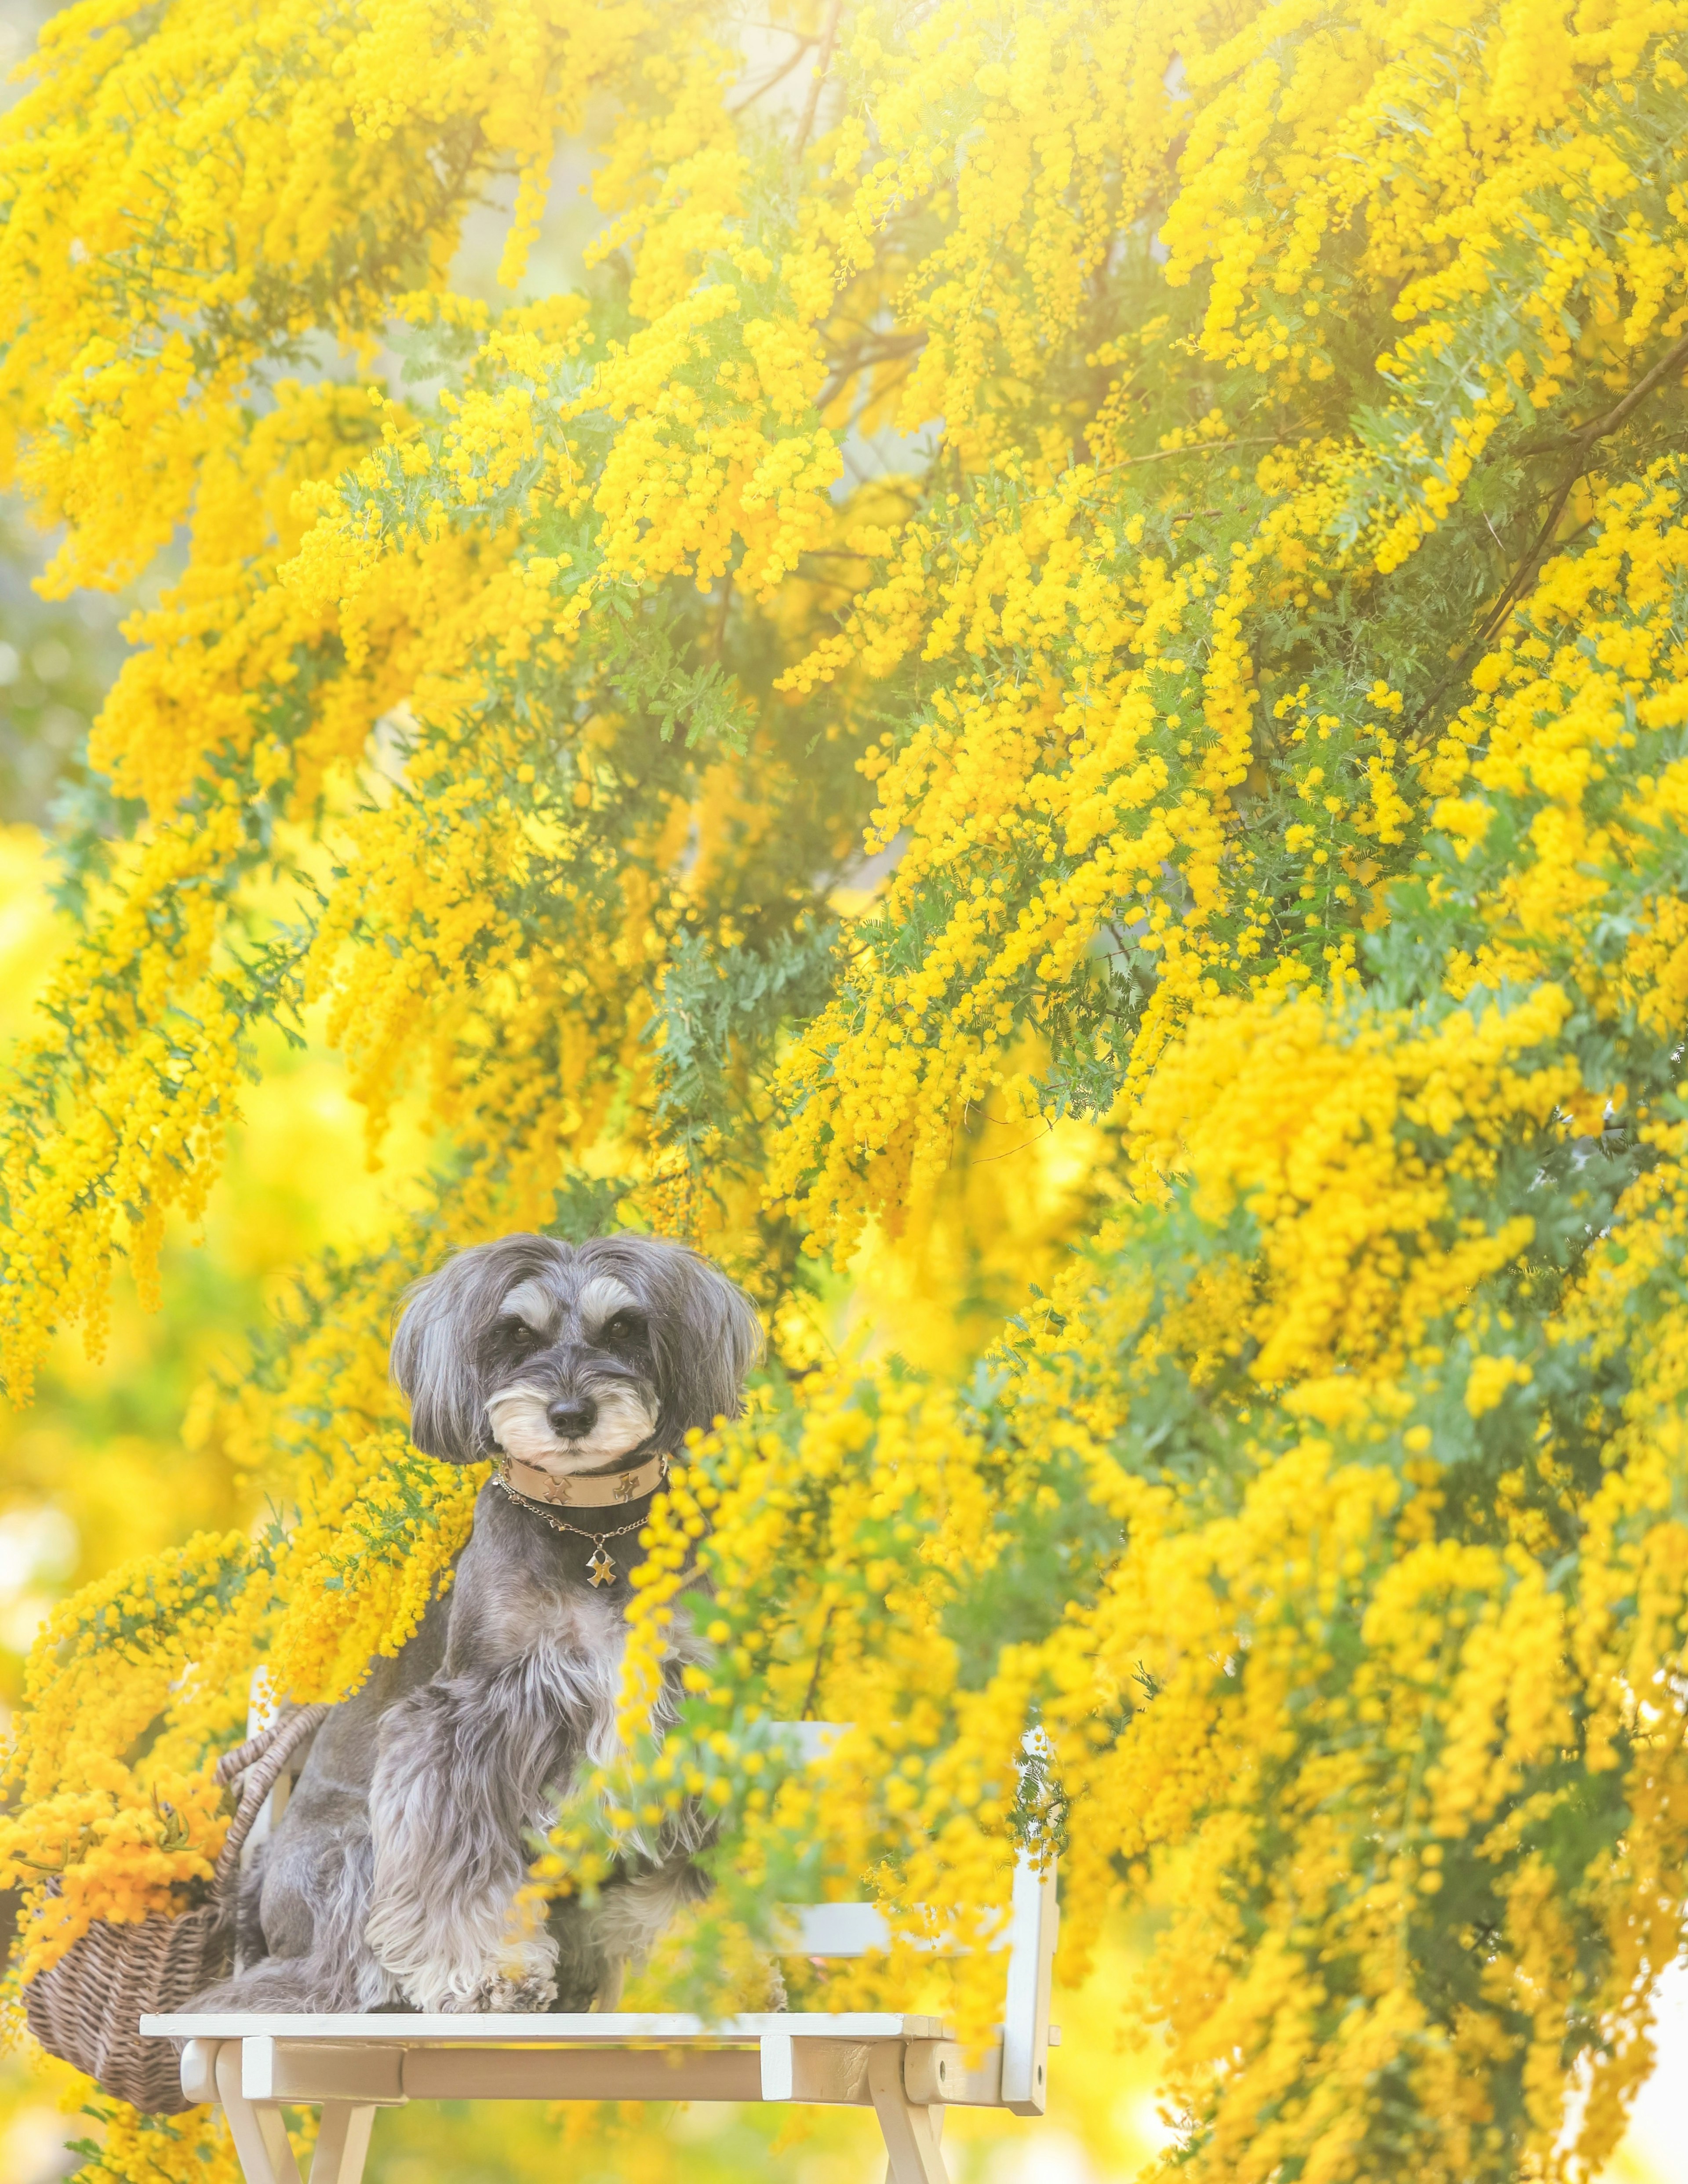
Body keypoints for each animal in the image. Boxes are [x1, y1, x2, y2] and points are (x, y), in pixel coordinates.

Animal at [191, 1231, 755, 2009]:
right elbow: (458, 1869)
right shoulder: (466, 1722)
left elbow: (684, 1877)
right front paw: (494, 1972)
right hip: (355, 1851)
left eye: (624, 1328)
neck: (591, 1527)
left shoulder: (681, 1711)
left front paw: (714, 1971)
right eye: (516, 1334)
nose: (571, 1415)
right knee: (329, 1974)